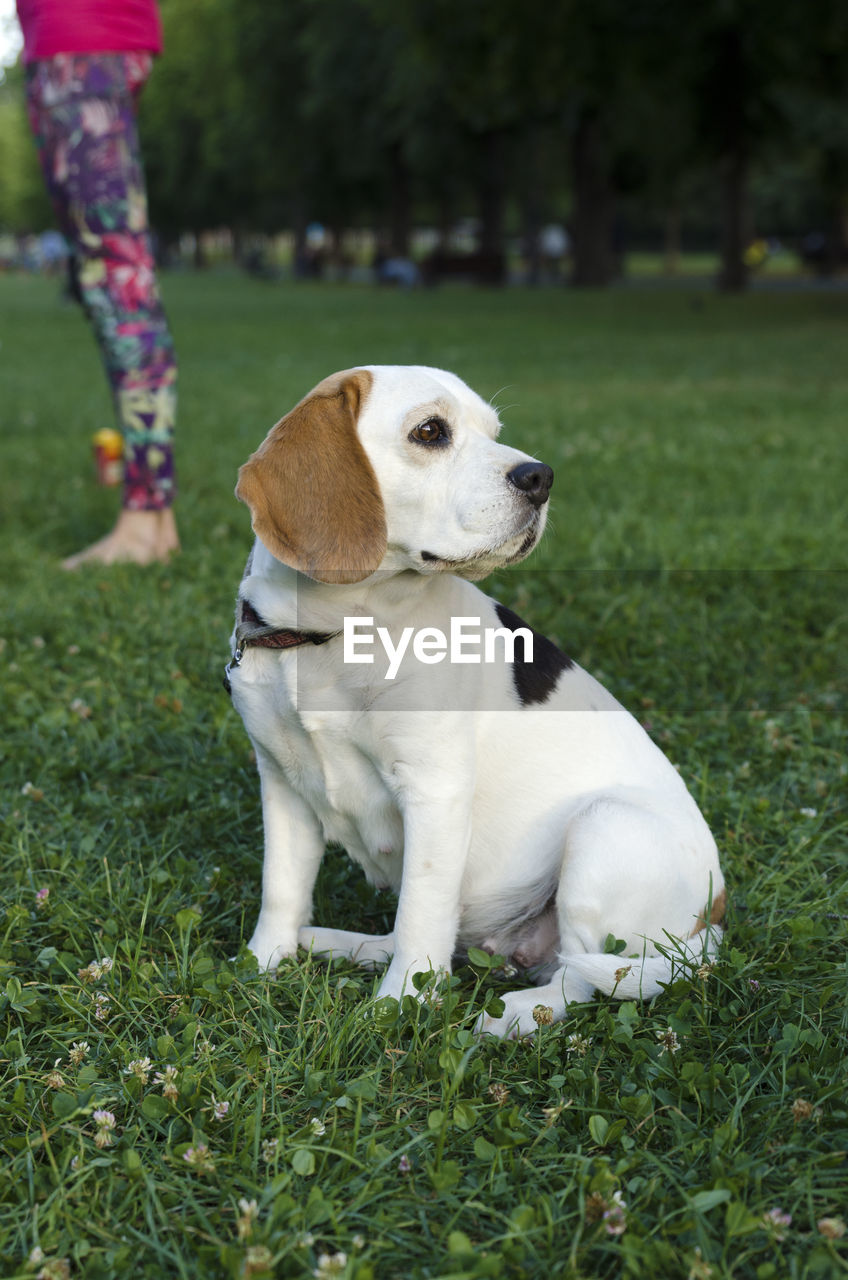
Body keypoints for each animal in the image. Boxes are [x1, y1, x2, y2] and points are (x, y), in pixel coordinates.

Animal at [229, 366, 727, 1034]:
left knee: (585, 977)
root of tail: (712, 920)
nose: (541, 477)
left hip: (603, 829)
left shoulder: (434, 791)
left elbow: (423, 912)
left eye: (494, 432)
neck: (337, 634)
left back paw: (514, 1014)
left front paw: (400, 1008)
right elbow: (282, 888)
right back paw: (341, 944)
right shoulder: (281, 781)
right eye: (430, 431)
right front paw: (261, 965)